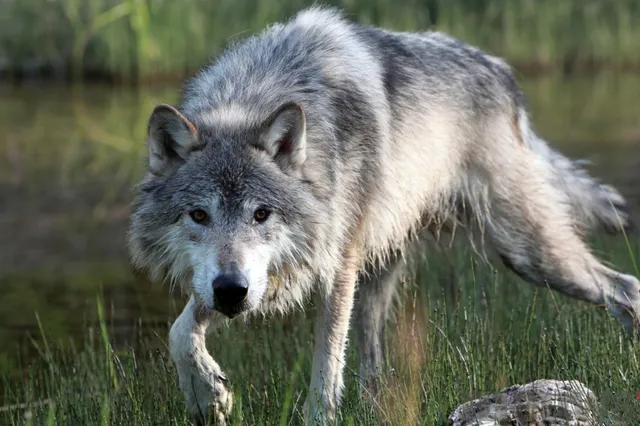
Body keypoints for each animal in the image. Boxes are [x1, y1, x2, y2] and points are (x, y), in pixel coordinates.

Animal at [126, 5, 640, 424]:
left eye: (261, 214)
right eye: (198, 215)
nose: (231, 292)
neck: (260, 91)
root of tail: (502, 73)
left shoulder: (333, 268)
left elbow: (325, 368)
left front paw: (316, 418)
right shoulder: (247, 279)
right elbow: (179, 331)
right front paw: (206, 396)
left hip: (528, 254)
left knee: (626, 288)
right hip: (381, 272)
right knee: (373, 364)